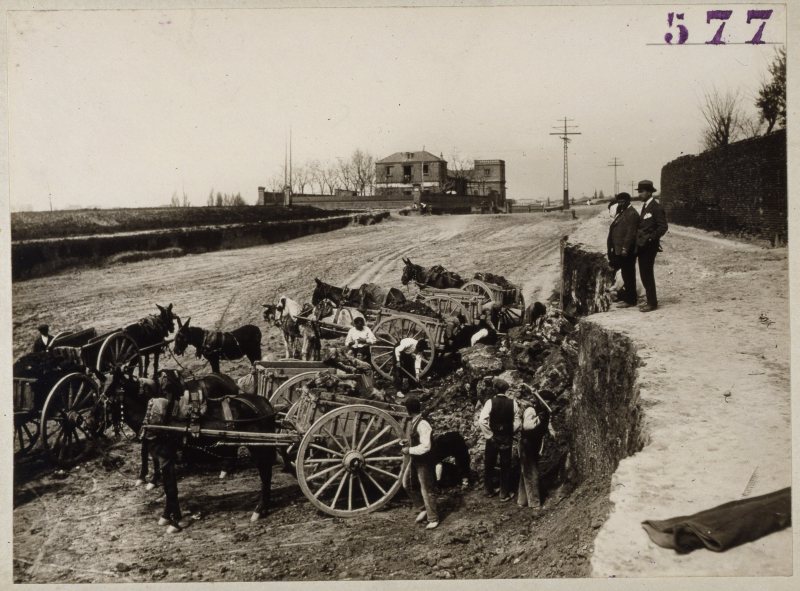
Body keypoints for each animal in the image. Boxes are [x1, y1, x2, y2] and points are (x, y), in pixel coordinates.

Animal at [115, 370, 278, 532]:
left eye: (110, 396)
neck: (156, 414)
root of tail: (264, 404)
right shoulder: (162, 454)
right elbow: (168, 485)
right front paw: (168, 516)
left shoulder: (165, 455)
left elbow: (170, 488)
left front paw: (174, 521)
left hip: (258, 447)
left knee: (265, 475)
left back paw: (259, 509)